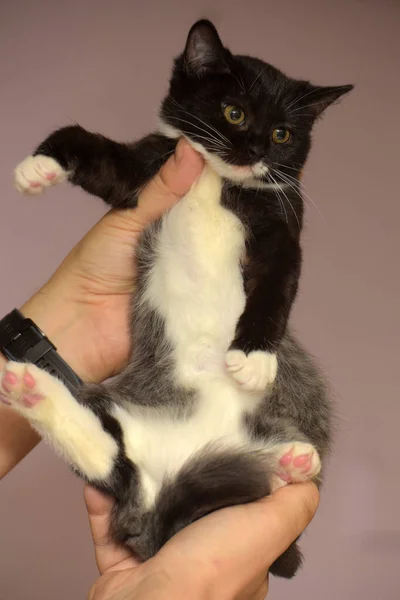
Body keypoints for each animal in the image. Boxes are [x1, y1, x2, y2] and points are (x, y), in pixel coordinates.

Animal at [3, 21, 354, 580]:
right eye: (234, 112)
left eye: (283, 135)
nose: (255, 149)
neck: (217, 179)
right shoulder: (145, 173)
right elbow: (95, 150)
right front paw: (39, 164)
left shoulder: (284, 224)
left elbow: (277, 285)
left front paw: (255, 357)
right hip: (118, 407)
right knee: (108, 455)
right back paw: (29, 390)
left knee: (115, 460)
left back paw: (287, 463)